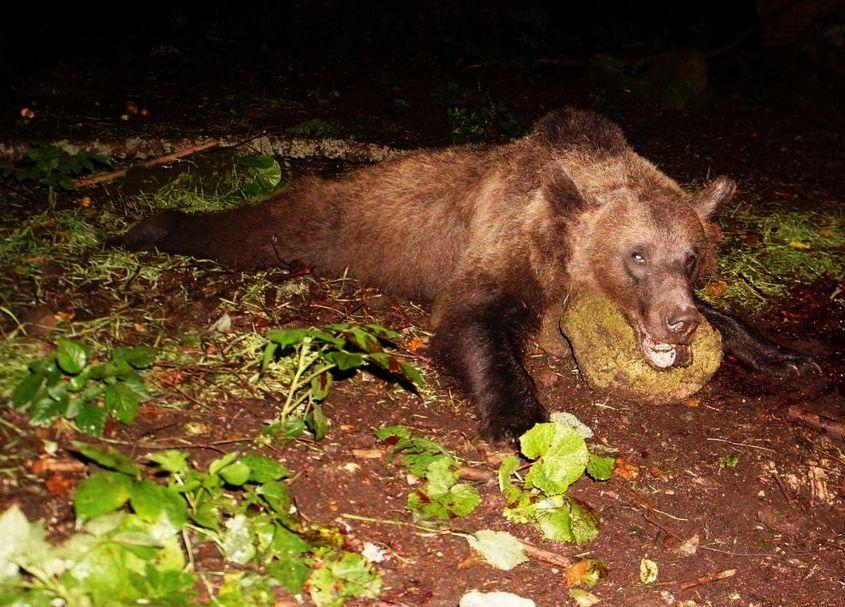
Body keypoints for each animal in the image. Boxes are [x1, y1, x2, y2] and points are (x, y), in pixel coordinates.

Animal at [122, 108, 816, 442]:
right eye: (636, 255)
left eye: (690, 255)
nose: (676, 322)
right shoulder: (508, 251)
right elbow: (472, 322)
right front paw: (523, 417)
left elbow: (729, 316)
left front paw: (784, 354)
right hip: (326, 220)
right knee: (256, 225)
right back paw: (150, 224)